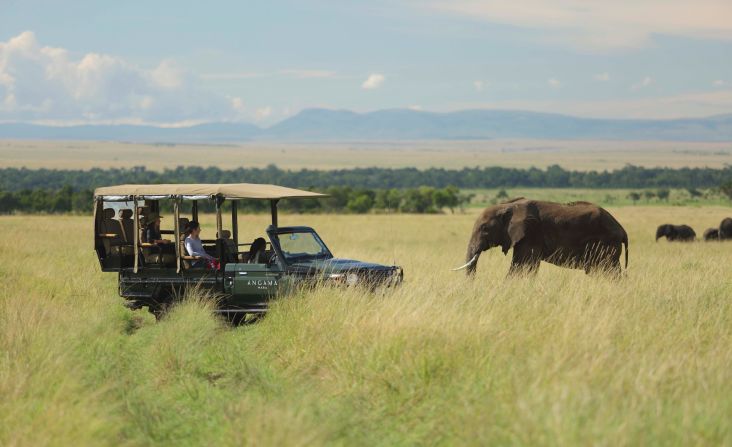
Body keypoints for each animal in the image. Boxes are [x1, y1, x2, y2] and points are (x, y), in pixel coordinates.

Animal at [452, 199, 628, 276]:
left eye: (484, 228)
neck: (508, 206)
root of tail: (622, 230)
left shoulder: (531, 234)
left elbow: (522, 266)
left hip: (605, 244)